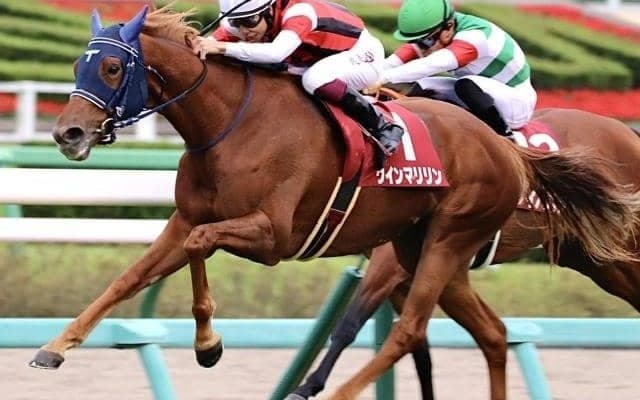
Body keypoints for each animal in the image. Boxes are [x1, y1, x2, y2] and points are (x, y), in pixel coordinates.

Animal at [286, 104, 640, 400]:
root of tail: (626, 132)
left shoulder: (389, 264)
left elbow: (350, 324)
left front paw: (307, 387)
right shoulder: (405, 272)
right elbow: (421, 353)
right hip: (597, 259)